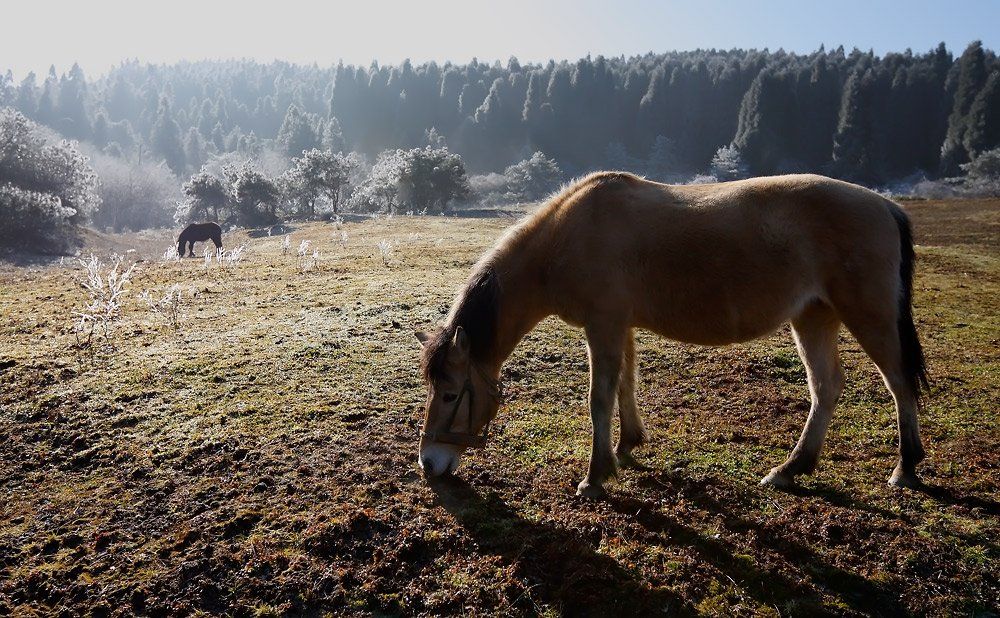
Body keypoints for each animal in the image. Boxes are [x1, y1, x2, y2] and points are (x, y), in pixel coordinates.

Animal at [416, 172, 929, 498]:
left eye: (450, 393)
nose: (428, 464)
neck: (566, 236)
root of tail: (884, 204)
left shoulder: (604, 325)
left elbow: (599, 398)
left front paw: (595, 476)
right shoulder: (618, 326)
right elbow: (624, 385)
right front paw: (626, 447)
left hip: (868, 316)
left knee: (899, 383)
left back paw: (906, 467)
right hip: (814, 318)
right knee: (826, 388)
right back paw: (790, 469)